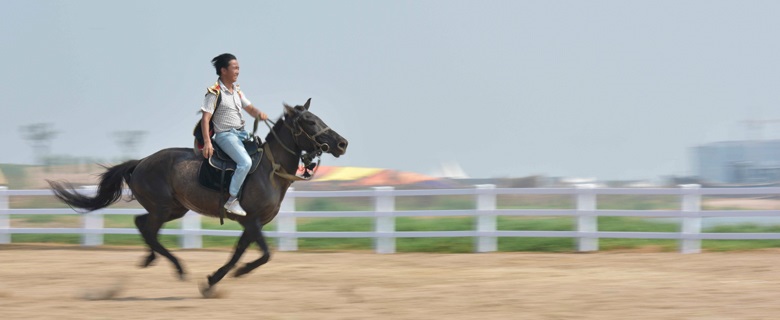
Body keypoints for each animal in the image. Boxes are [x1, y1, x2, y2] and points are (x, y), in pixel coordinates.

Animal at [45, 98, 344, 296]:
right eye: (309, 121)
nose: (342, 143)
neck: (268, 170)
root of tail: (140, 163)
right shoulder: (253, 221)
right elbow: (265, 254)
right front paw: (232, 274)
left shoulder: (250, 224)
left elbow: (239, 253)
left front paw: (213, 280)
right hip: (163, 208)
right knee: (148, 229)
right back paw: (177, 267)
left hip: (174, 209)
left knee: (142, 224)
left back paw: (151, 259)